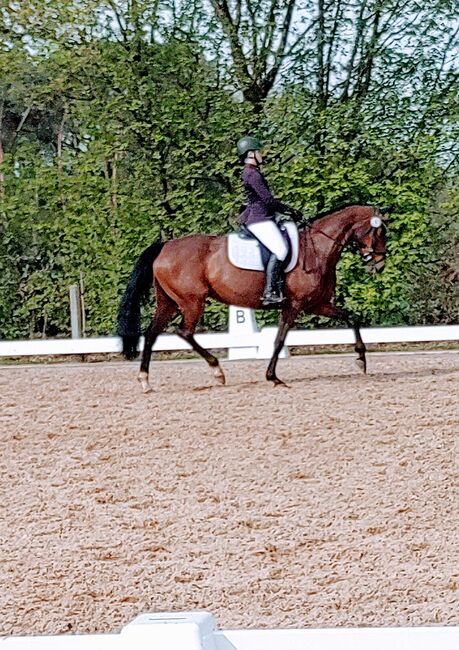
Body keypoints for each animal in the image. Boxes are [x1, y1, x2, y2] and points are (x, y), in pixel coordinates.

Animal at [117, 202, 388, 390]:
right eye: (379, 232)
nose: (379, 264)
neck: (318, 250)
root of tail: (165, 246)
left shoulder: (317, 304)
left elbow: (352, 318)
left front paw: (361, 360)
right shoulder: (295, 305)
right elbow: (279, 340)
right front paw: (273, 377)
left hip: (169, 302)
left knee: (151, 334)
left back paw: (145, 380)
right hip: (191, 302)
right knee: (184, 333)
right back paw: (217, 372)